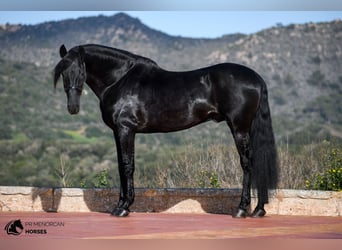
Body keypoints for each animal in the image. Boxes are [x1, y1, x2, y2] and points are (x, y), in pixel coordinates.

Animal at [53, 44, 278, 218]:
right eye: (63, 73)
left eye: (80, 70)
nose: (72, 107)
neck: (120, 79)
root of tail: (257, 78)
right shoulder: (119, 132)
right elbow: (121, 166)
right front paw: (121, 205)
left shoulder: (126, 129)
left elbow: (126, 166)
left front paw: (123, 208)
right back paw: (258, 209)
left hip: (239, 127)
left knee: (247, 163)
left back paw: (241, 209)